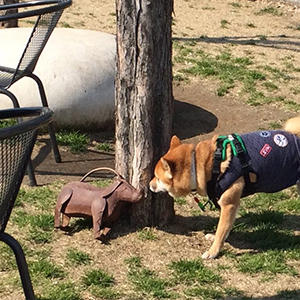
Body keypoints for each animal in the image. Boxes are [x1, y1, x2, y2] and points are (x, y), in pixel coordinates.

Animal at [150, 116, 300, 258]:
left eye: (157, 178)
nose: (149, 185)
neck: (203, 165)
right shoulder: (232, 206)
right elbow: (226, 228)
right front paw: (216, 239)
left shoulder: (228, 204)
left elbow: (221, 230)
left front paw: (213, 252)